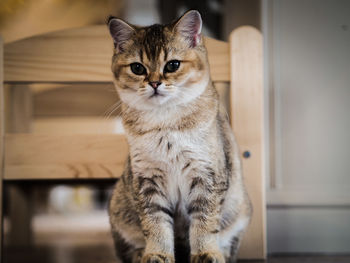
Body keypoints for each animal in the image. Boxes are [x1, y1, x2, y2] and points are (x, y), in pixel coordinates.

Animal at [106, 9, 252, 263]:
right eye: (137, 68)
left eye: (172, 65)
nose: (155, 83)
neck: (166, 123)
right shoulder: (147, 180)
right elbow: (155, 224)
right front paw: (156, 254)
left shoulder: (207, 176)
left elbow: (204, 223)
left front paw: (206, 252)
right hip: (117, 209)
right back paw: (139, 254)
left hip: (240, 208)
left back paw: (221, 252)